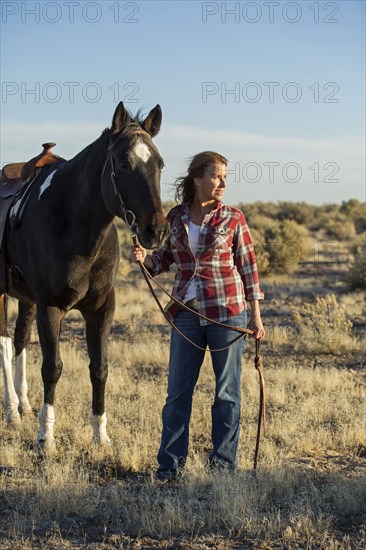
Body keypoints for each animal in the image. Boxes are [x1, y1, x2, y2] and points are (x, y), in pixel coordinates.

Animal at [0, 101, 169, 454]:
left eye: (159, 164)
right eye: (123, 163)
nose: (157, 231)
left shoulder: (102, 308)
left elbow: (99, 368)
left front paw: (100, 435)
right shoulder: (51, 308)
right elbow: (52, 368)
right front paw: (46, 437)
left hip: (25, 300)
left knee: (19, 340)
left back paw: (23, 404)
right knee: (5, 345)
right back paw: (10, 410)